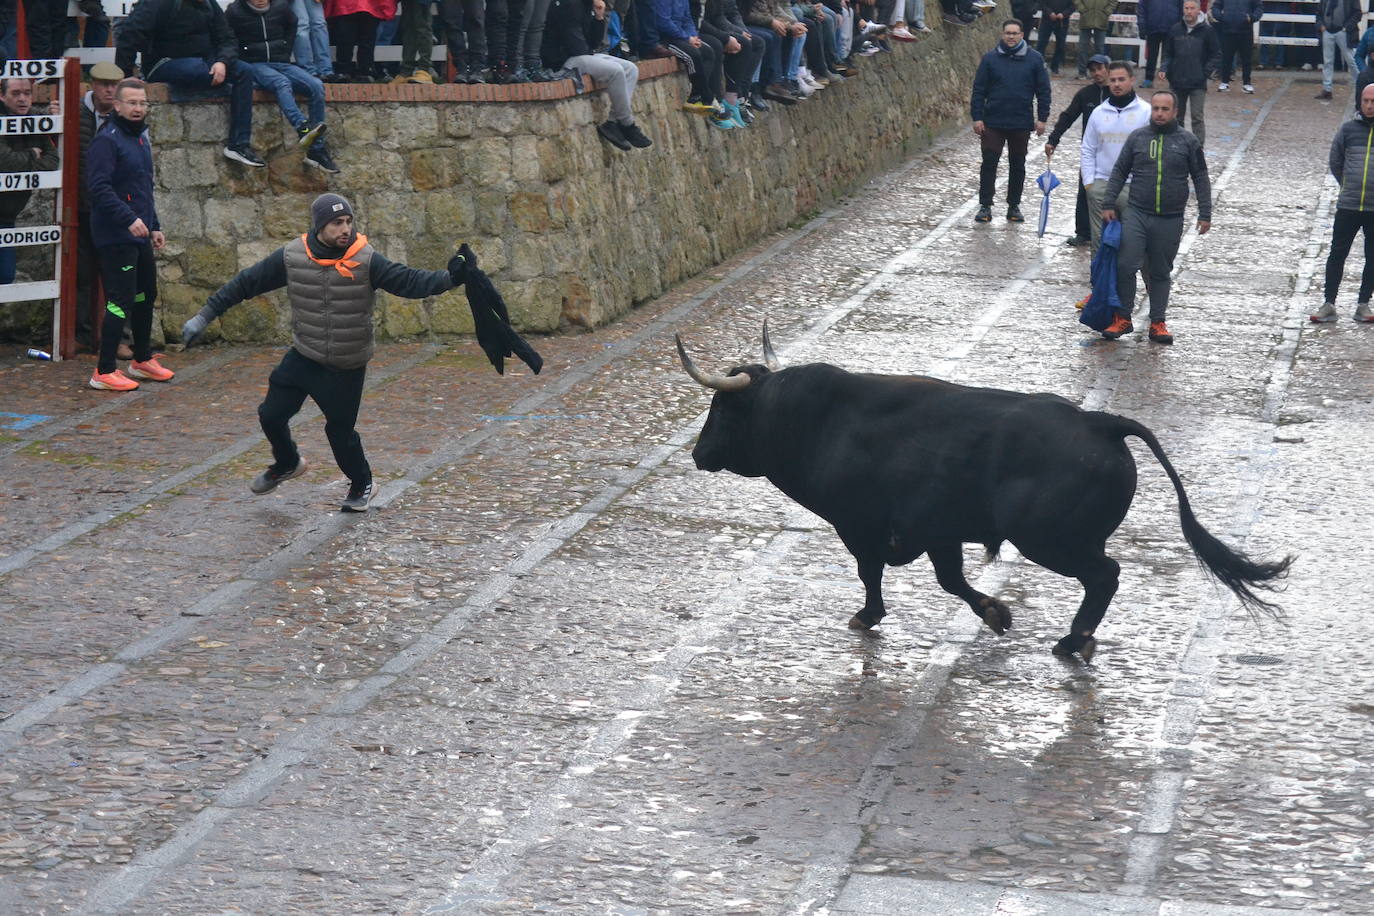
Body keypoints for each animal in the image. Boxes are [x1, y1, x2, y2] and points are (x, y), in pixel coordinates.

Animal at [681, 333, 1291, 661]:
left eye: (721, 408)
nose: (697, 453)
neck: (820, 421)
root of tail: (1100, 423)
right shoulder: (937, 532)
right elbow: (950, 580)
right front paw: (995, 612)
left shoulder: (862, 527)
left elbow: (873, 573)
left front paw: (869, 614)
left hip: (1053, 541)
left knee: (1106, 575)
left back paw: (1072, 641)